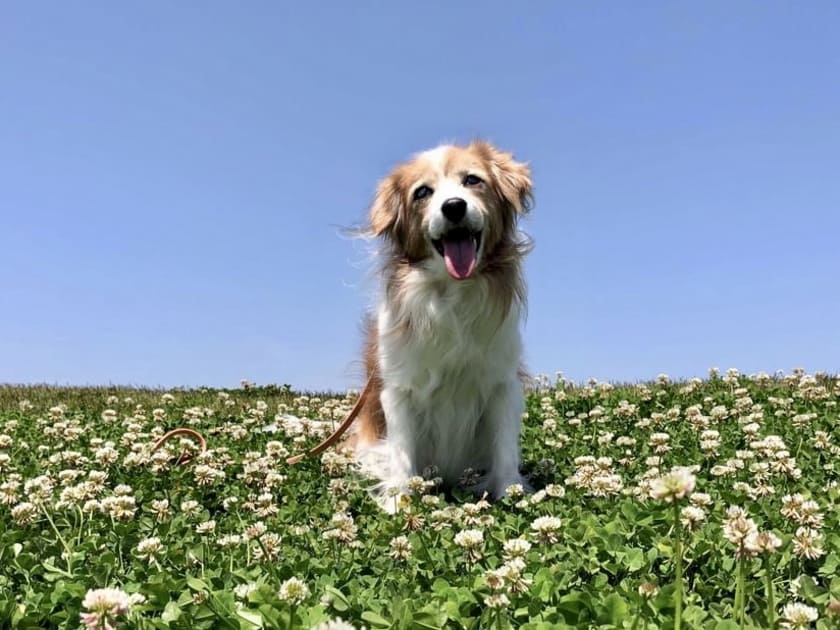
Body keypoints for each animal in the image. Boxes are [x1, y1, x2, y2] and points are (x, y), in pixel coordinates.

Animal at [352, 139, 536, 508]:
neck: (451, 291)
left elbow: (505, 446)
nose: (453, 207)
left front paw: (510, 489)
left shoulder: (502, 383)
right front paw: (398, 497)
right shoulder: (399, 388)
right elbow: (402, 450)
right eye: (422, 192)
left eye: (473, 180)